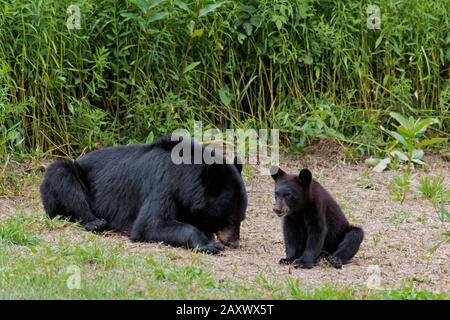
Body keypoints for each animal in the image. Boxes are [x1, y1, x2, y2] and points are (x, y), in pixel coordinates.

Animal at [39, 135, 246, 252]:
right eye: (229, 219)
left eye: (241, 218)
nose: (234, 242)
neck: (184, 177)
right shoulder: (163, 186)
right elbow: (150, 224)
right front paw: (208, 244)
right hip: (72, 176)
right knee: (61, 174)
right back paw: (95, 222)